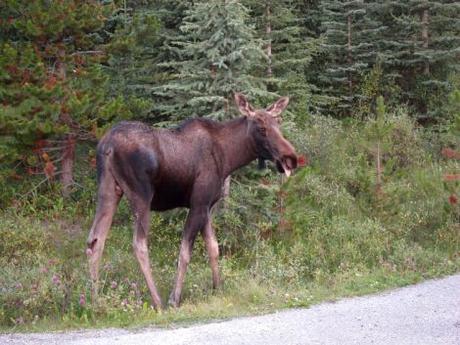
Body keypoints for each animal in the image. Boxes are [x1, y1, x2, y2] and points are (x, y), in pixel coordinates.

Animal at [87, 92, 298, 308]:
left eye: (279, 123)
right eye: (261, 128)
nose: (291, 157)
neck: (228, 158)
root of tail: (107, 146)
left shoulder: (207, 207)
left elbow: (213, 247)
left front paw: (217, 288)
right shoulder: (198, 204)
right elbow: (185, 252)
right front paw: (175, 299)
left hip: (108, 190)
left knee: (95, 240)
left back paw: (94, 300)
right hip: (141, 196)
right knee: (139, 244)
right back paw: (157, 301)